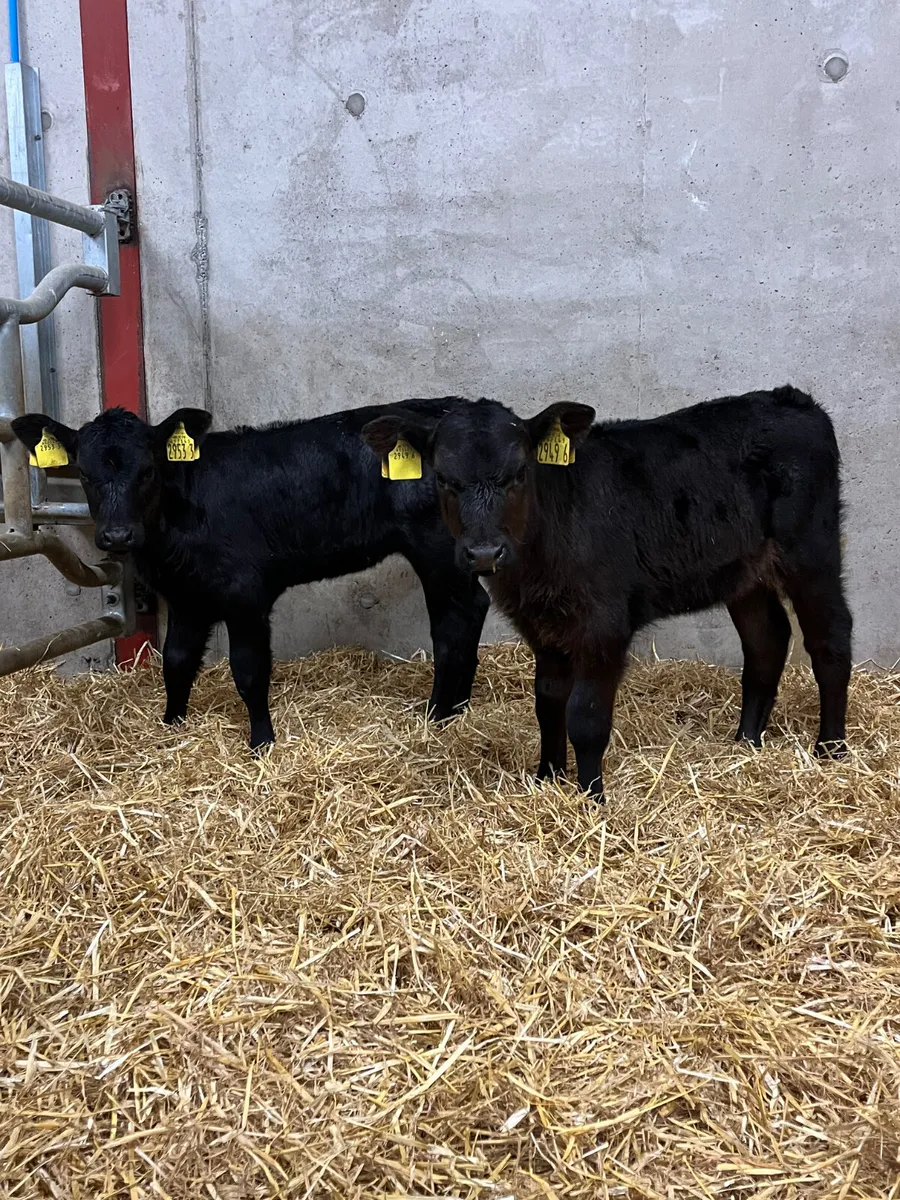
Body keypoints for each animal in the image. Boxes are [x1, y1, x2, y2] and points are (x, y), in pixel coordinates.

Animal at [12, 400, 490, 748]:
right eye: (84, 474)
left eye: (147, 470)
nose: (116, 535)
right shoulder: (186, 598)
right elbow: (176, 662)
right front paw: (171, 725)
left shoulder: (246, 596)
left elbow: (249, 671)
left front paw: (261, 742)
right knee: (473, 609)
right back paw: (460, 709)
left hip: (436, 550)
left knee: (453, 624)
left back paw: (437, 714)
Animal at [362, 386, 852, 800]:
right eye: (444, 479)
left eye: (519, 473)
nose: (484, 553)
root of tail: (792, 399)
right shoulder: (541, 624)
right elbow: (548, 703)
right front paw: (548, 779)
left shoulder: (604, 624)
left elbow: (586, 715)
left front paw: (591, 798)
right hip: (745, 570)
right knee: (766, 638)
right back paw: (746, 742)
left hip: (812, 548)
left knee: (830, 637)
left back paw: (831, 748)